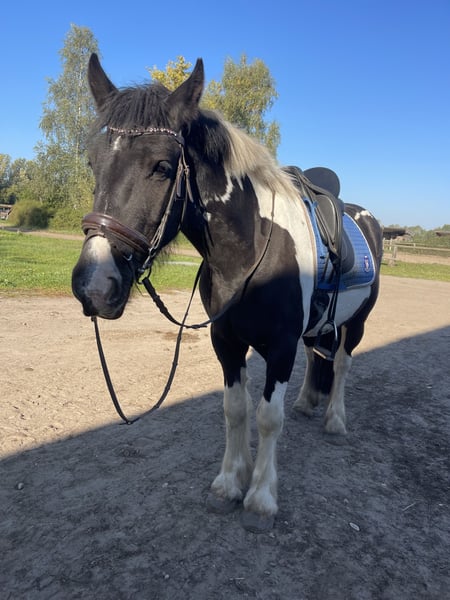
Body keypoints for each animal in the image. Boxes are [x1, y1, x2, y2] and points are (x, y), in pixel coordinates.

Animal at [72, 53, 383, 532]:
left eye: (162, 166)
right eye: (93, 163)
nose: (94, 283)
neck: (252, 248)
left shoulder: (279, 346)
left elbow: (268, 417)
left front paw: (261, 497)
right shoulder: (227, 341)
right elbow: (235, 409)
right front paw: (229, 483)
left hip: (357, 323)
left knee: (344, 365)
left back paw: (334, 419)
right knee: (318, 356)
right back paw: (308, 402)